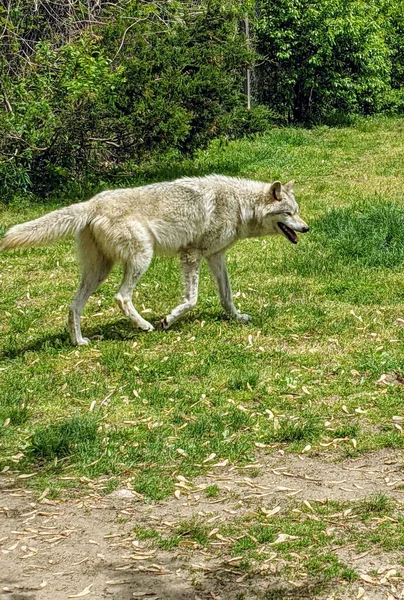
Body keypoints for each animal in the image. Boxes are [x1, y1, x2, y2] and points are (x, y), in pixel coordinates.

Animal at [0, 173, 310, 344]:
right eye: (289, 213)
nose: (307, 228)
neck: (239, 205)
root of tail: (91, 203)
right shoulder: (191, 255)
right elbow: (191, 300)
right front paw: (167, 320)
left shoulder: (215, 257)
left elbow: (227, 296)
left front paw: (237, 318)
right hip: (141, 259)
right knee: (121, 296)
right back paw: (145, 326)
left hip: (99, 272)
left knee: (74, 305)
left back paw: (79, 342)